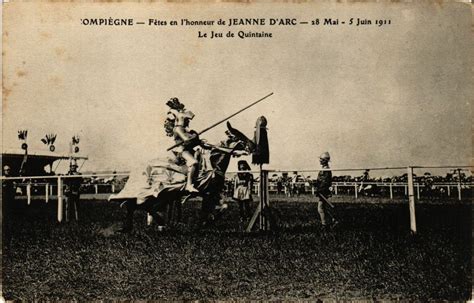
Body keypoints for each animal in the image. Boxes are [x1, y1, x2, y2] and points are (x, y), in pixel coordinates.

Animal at [115, 123, 256, 233]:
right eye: (238, 135)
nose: (253, 146)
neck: (214, 163)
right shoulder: (208, 193)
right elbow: (209, 210)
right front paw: (204, 223)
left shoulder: (213, 192)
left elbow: (223, 207)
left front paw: (206, 222)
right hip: (158, 193)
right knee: (140, 206)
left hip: (164, 195)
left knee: (140, 206)